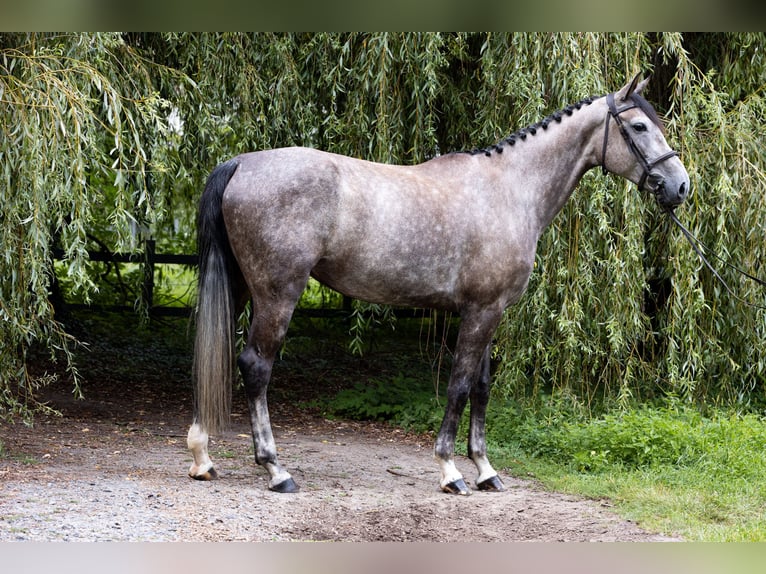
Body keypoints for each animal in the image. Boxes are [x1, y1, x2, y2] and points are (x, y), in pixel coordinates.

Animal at [189, 76, 692, 498]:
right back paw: (276, 470)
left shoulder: (489, 311)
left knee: (213, 354)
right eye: (640, 126)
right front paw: (451, 471)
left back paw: (203, 459)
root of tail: (241, 163)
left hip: (240, 288)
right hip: (278, 294)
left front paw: (486, 470)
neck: (510, 190)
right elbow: (459, 385)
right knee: (255, 366)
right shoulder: (482, 312)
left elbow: (482, 387)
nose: (681, 187)